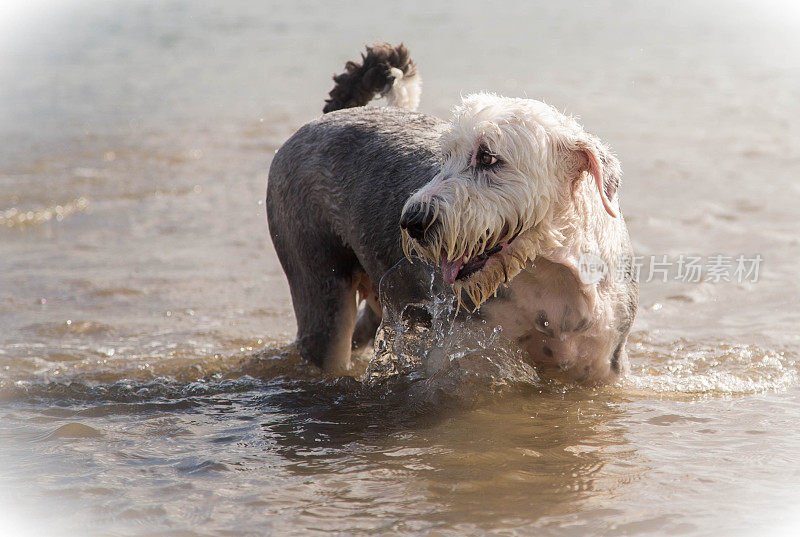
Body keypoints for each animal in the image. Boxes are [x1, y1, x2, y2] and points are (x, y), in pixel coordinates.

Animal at [268, 45, 636, 382]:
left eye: (488, 157)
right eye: (445, 157)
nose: (412, 222)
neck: (552, 274)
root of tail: (333, 115)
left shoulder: (602, 362)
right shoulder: (469, 350)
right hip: (318, 282)